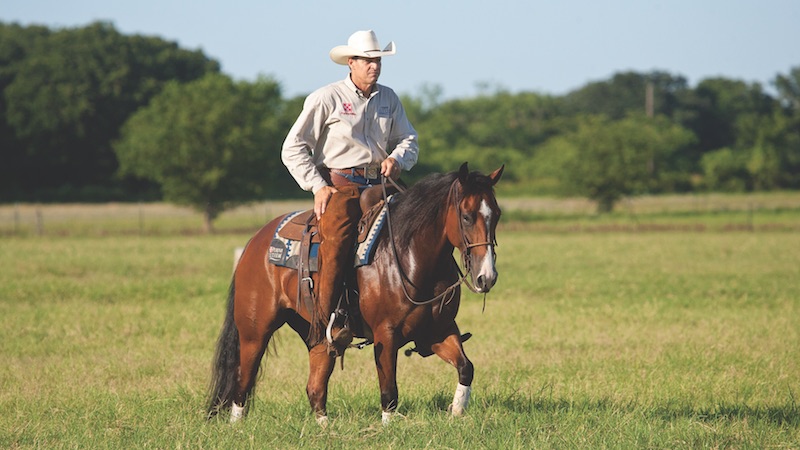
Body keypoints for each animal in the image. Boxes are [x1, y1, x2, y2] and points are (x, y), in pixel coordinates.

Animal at [206, 162, 504, 425]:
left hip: (316, 334)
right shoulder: (386, 334)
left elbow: (466, 367)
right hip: (255, 332)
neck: (409, 255)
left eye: (497, 214)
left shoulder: (438, 330)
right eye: (466, 216)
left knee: (315, 388)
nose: (487, 277)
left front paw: (456, 411)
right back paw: (236, 424)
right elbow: (389, 392)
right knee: (242, 381)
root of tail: (255, 241)